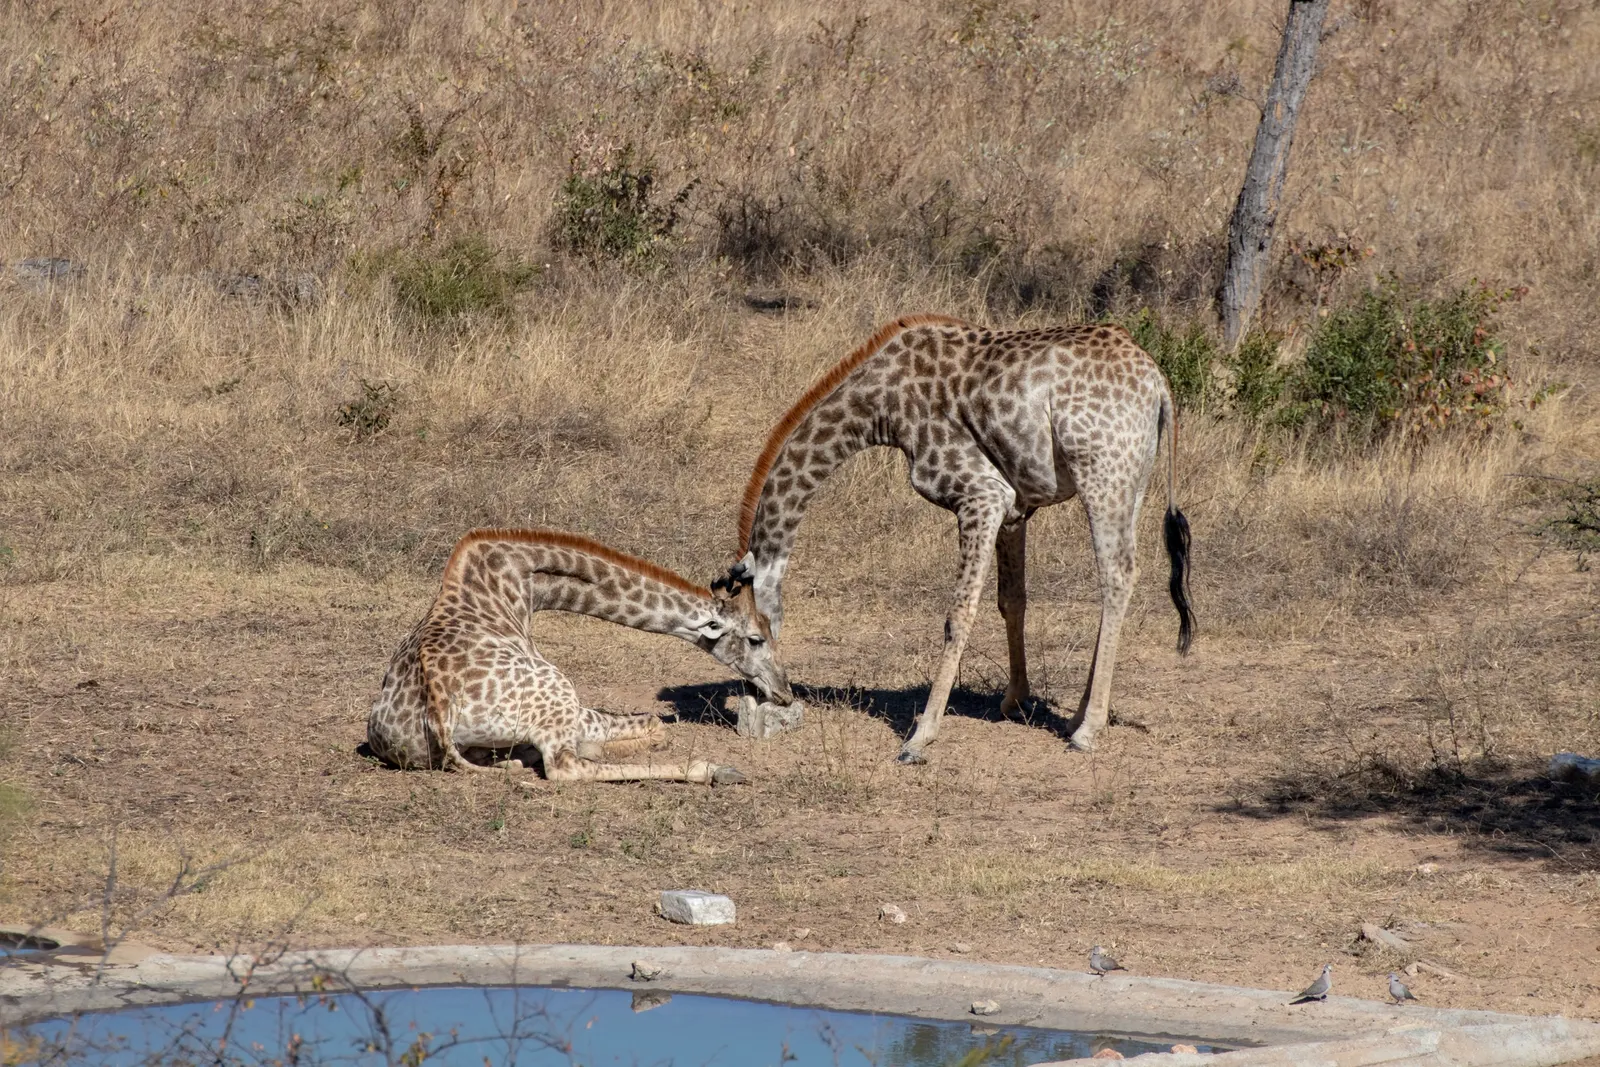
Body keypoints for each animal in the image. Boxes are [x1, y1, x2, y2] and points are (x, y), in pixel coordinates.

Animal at [369, 527, 792, 784]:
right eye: (756, 639)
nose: (785, 692)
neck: (521, 580)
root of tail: (438, 711)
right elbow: (655, 723)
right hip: (560, 694)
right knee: (565, 767)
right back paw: (713, 769)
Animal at [718, 314, 1193, 762]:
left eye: (755, 635)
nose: (774, 694)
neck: (882, 405)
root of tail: (1157, 381)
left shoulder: (981, 495)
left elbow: (958, 614)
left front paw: (920, 737)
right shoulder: (1013, 507)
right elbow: (1011, 600)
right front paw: (1013, 701)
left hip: (1101, 472)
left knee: (1117, 575)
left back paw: (1086, 731)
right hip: (1132, 481)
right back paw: (1077, 716)